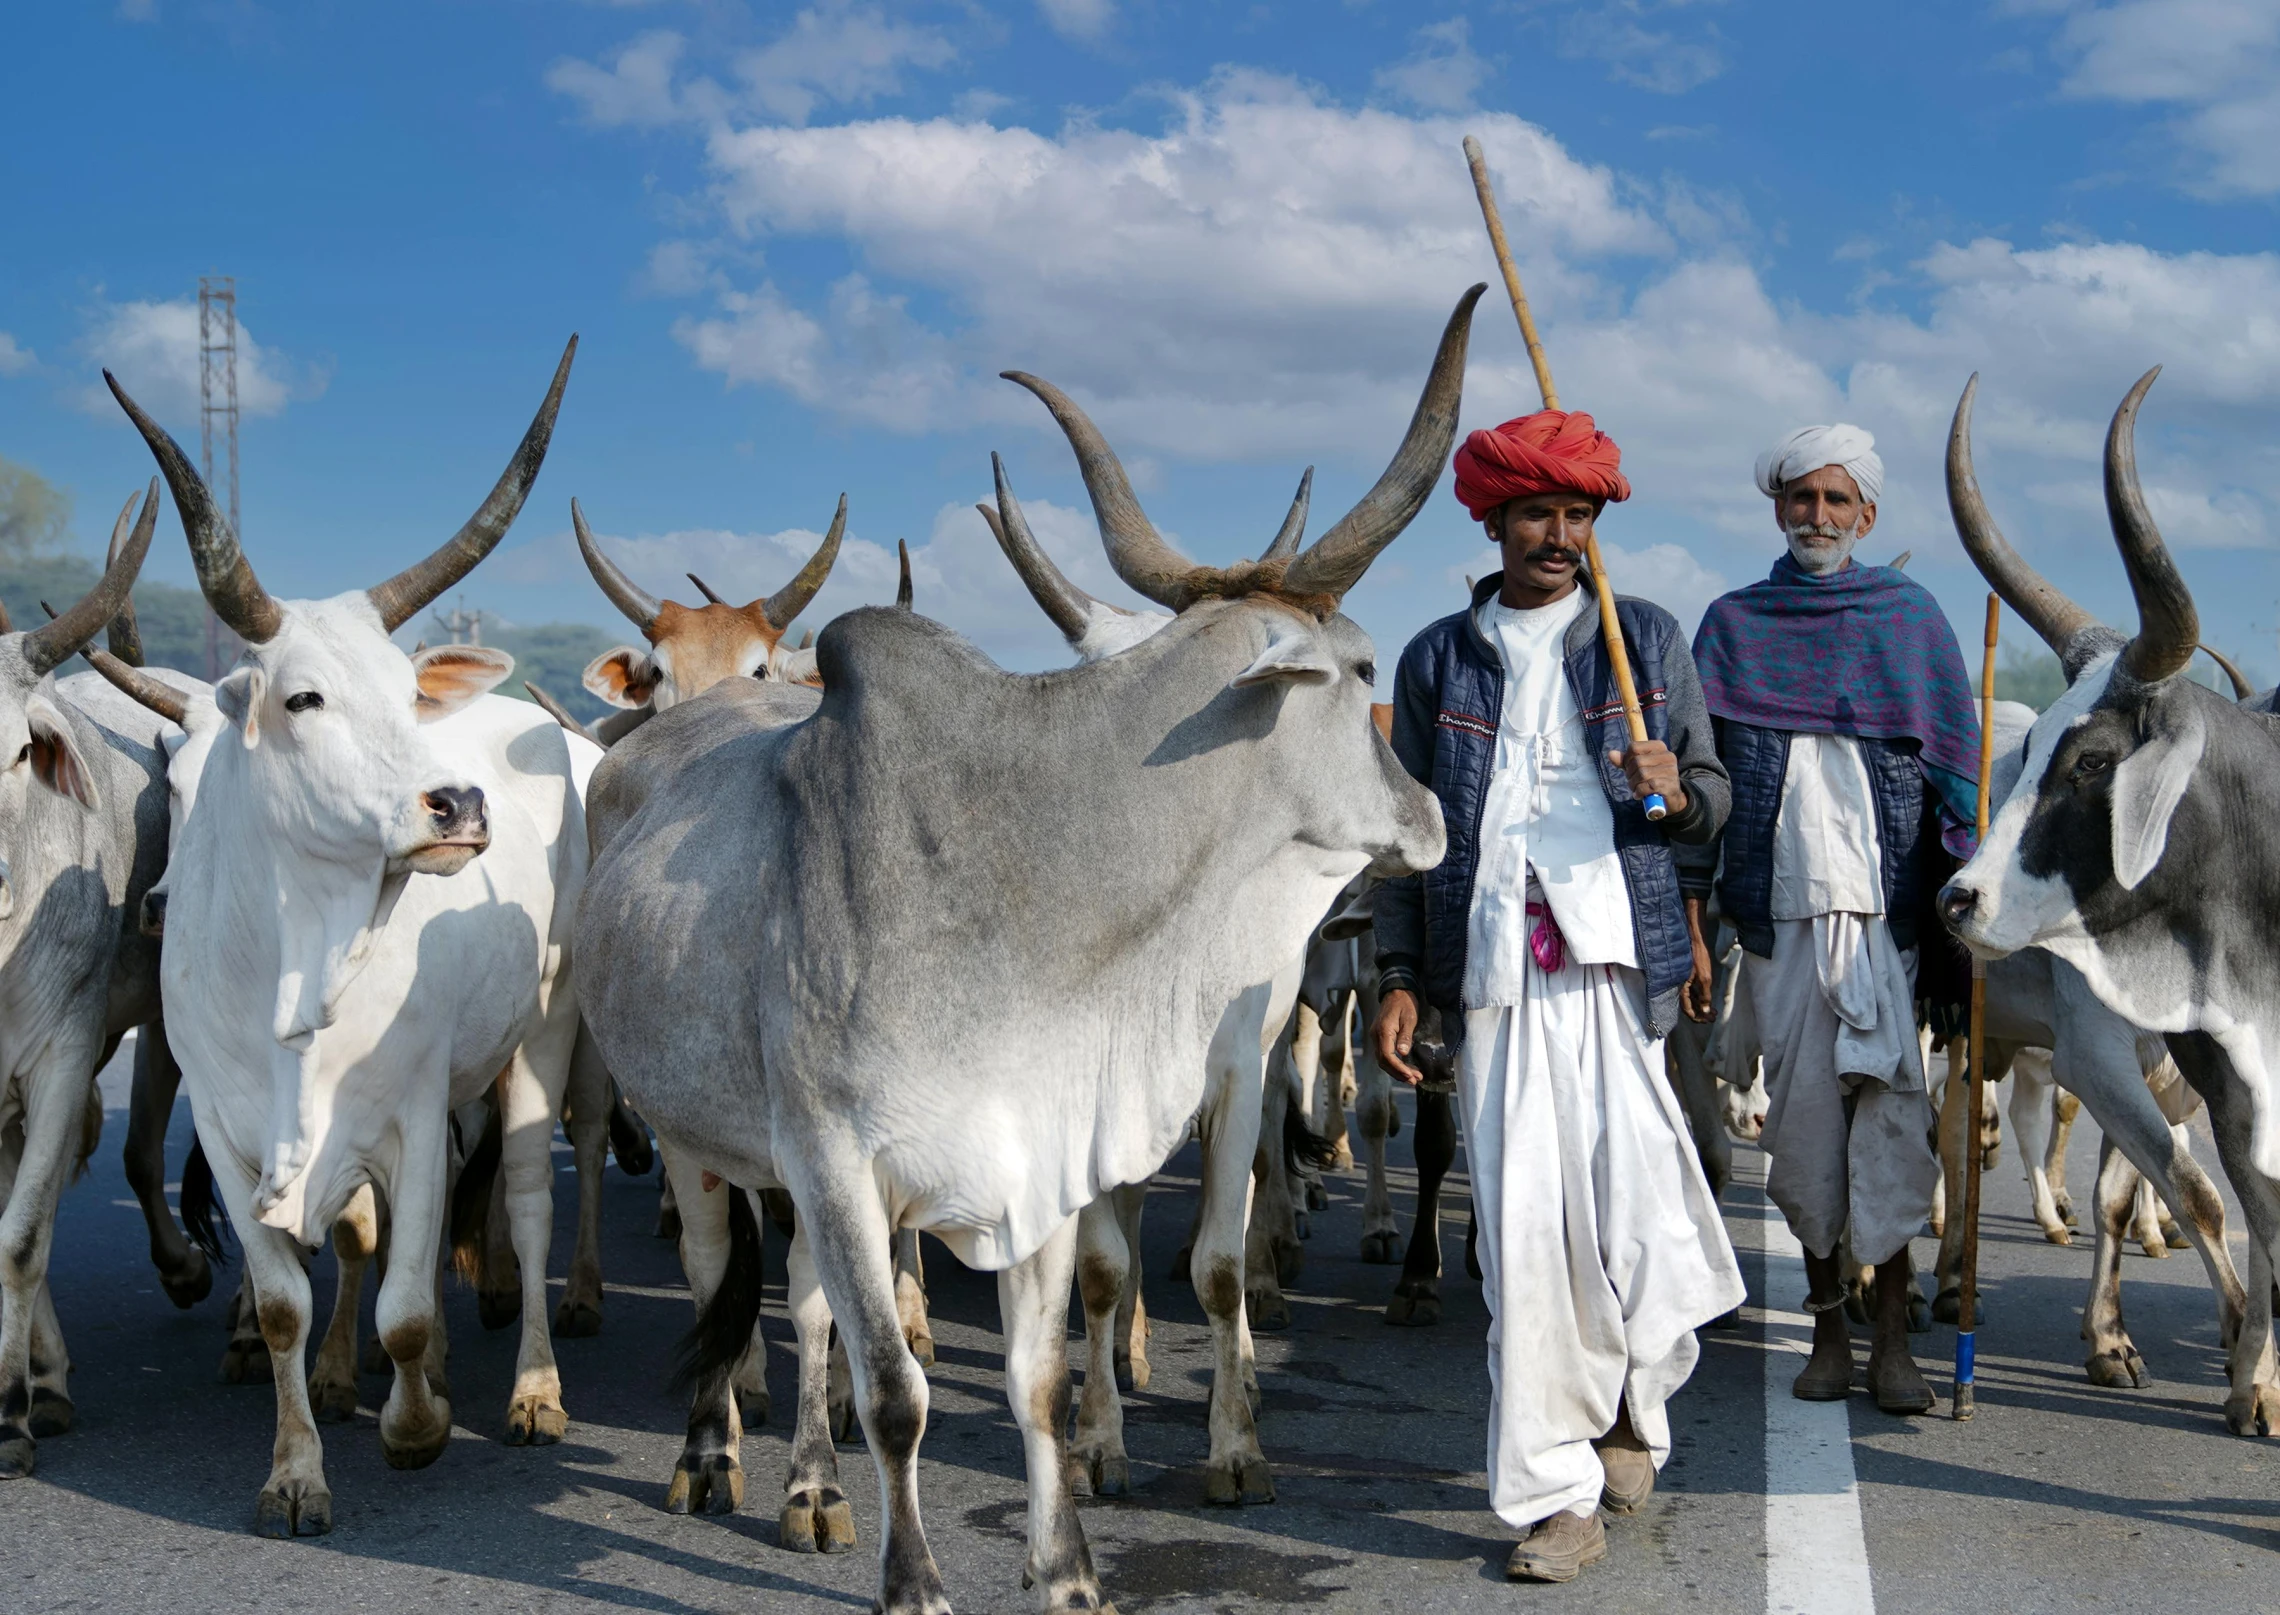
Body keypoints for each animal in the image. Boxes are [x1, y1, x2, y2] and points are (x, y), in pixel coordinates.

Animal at [107, 346, 592, 1532]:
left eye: (408, 696)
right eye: (303, 698)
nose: (458, 803)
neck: (300, 967)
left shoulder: (411, 1112)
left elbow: (409, 1301)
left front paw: (416, 1427)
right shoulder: (228, 1129)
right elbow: (288, 1296)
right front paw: (296, 1465)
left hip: (543, 1027)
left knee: (523, 1198)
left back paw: (531, 1388)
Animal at [579, 283, 1486, 1605]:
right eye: (1366, 666)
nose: (1429, 816)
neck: (1024, 872)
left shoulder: (1045, 1153)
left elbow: (1040, 1376)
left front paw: (1068, 1567)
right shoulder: (837, 1162)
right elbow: (896, 1394)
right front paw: (917, 1580)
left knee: (802, 1307)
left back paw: (810, 1483)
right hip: (705, 1140)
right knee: (724, 1280)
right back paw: (716, 1456)